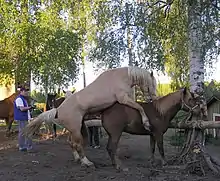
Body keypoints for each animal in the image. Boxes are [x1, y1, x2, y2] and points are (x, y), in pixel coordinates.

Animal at [23, 66, 158, 167]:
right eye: (153, 84)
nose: (153, 98)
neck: (120, 77)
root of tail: (58, 110)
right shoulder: (123, 99)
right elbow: (139, 107)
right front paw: (146, 123)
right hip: (76, 129)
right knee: (77, 145)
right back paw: (87, 162)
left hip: (74, 129)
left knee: (71, 143)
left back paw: (78, 159)